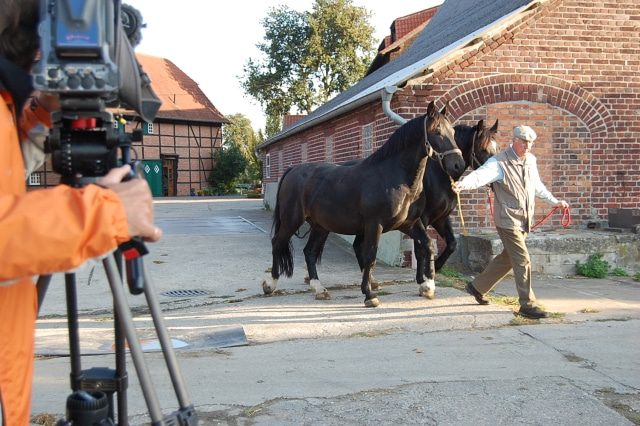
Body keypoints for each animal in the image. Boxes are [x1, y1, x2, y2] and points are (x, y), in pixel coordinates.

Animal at [262, 101, 464, 308]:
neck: (393, 177)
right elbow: (370, 256)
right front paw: (369, 295)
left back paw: (319, 288)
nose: (459, 165)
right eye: (437, 131)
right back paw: (270, 284)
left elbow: (428, 244)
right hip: (292, 220)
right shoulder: (375, 225)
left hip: (320, 226)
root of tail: (293, 170)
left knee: (309, 252)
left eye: (453, 132)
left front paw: (428, 286)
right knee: (277, 242)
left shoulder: (409, 223)